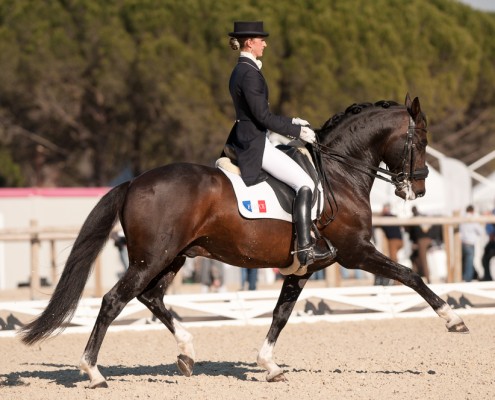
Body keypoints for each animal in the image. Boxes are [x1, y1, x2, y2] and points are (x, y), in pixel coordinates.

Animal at [18, 93, 468, 388]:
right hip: (153, 257)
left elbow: (281, 314)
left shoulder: (305, 266)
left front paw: (269, 365)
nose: (418, 190)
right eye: (421, 140)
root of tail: (134, 182)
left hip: (173, 257)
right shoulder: (356, 252)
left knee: (151, 298)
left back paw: (186, 353)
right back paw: (93, 372)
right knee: (115, 300)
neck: (339, 174)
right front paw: (454, 319)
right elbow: (410, 275)